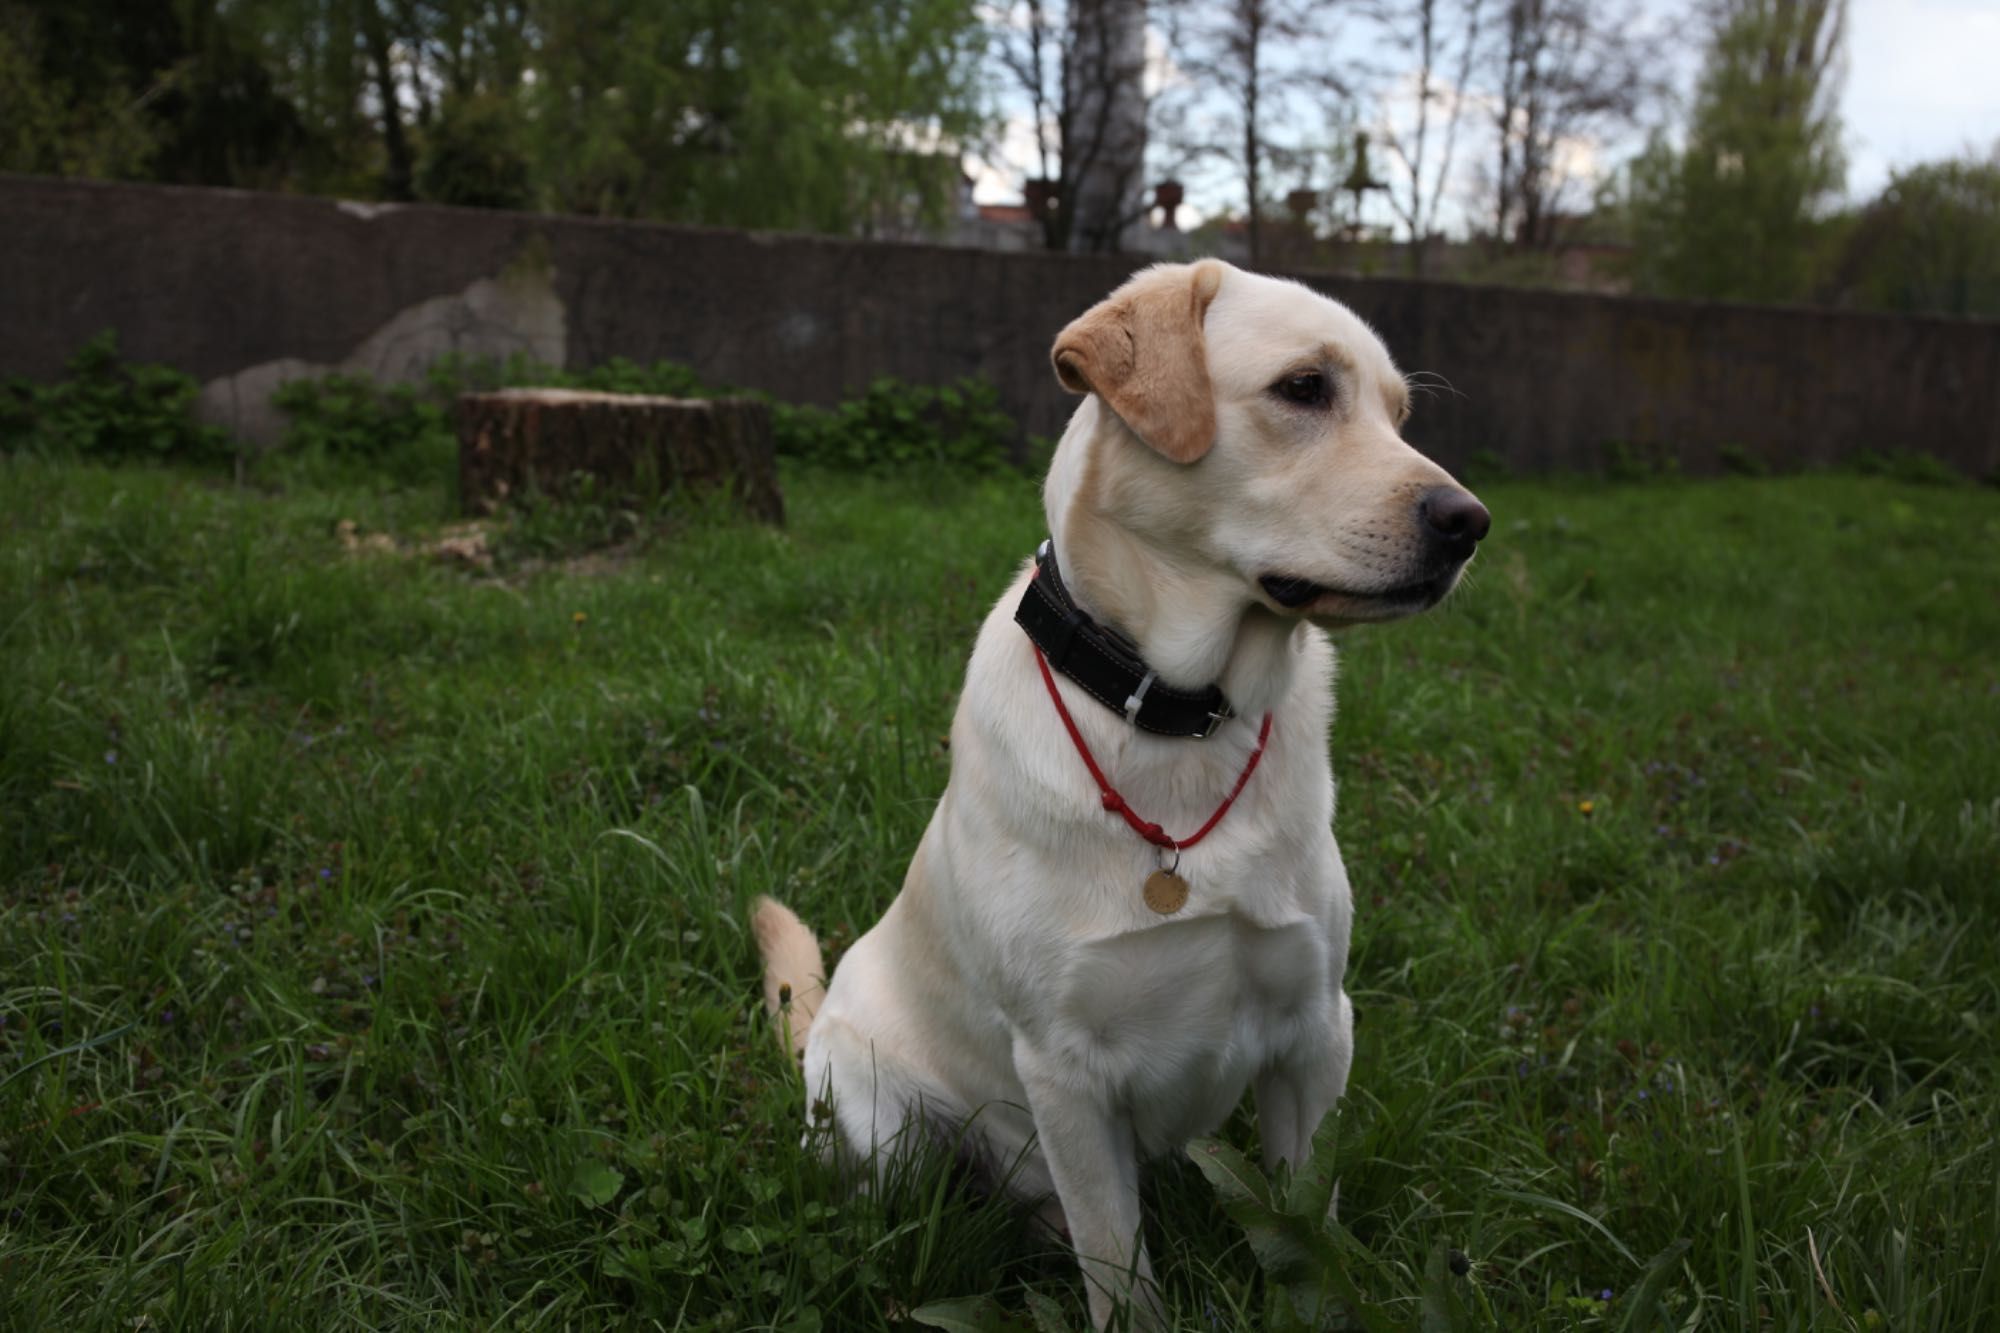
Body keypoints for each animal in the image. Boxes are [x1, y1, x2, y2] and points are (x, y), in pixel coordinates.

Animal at [756, 256, 1496, 1320]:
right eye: (1304, 388)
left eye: (1399, 415)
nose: (1470, 523)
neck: (1186, 715)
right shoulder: (1066, 1072)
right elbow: (1118, 1268)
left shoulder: (1317, 1030)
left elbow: (1309, 1227)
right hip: (886, 1131)